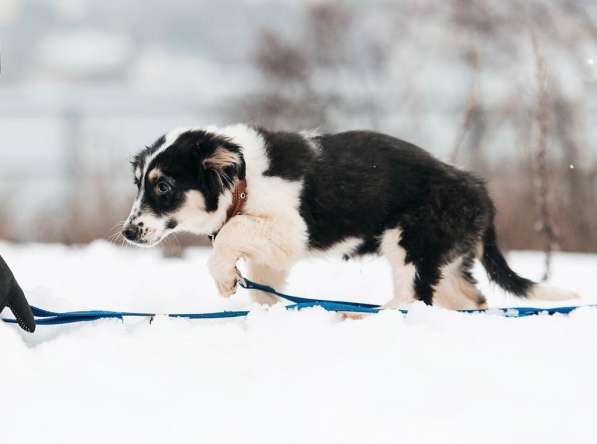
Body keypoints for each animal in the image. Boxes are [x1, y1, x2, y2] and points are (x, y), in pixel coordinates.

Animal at [122, 125, 576, 308]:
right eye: (139, 182)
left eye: (163, 186)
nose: (128, 232)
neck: (241, 180)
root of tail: (476, 187)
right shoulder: (274, 255)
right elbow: (265, 292)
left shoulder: (289, 230)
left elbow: (233, 232)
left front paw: (223, 279)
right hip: (444, 258)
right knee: (470, 300)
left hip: (410, 244)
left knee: (413, 298)